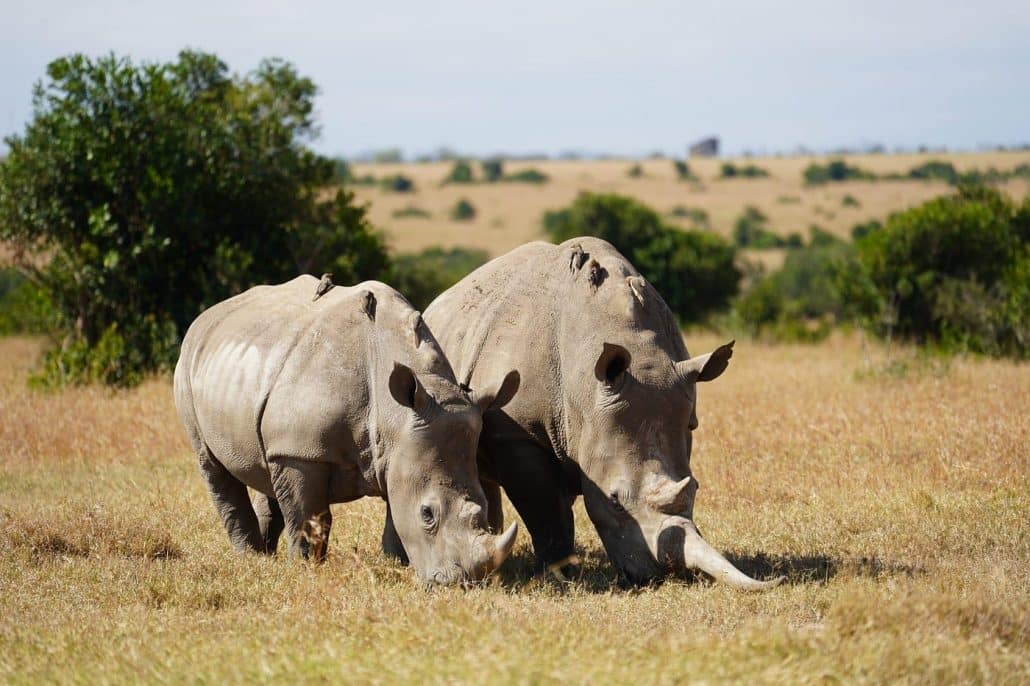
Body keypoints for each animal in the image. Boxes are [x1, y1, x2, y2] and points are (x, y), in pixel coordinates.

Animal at [173, 275, 520, 586]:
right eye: (427, 514)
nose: (462, 584)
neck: (395, 415)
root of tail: (207, 317)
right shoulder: (302, 452)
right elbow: (310, 517)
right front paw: (306, 569)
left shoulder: (396, 452)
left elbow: (395, 516)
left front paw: (395, 564)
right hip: (188, 365)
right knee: (212, 466)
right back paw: (251, 558)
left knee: (265, 466)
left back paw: (265, 555)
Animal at [383, 238, 783, 590]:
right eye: (615, 501)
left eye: (697, 488)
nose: (663, 575)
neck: (584, 390)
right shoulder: (518, 434)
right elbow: (546, 509)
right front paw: (559, 572)